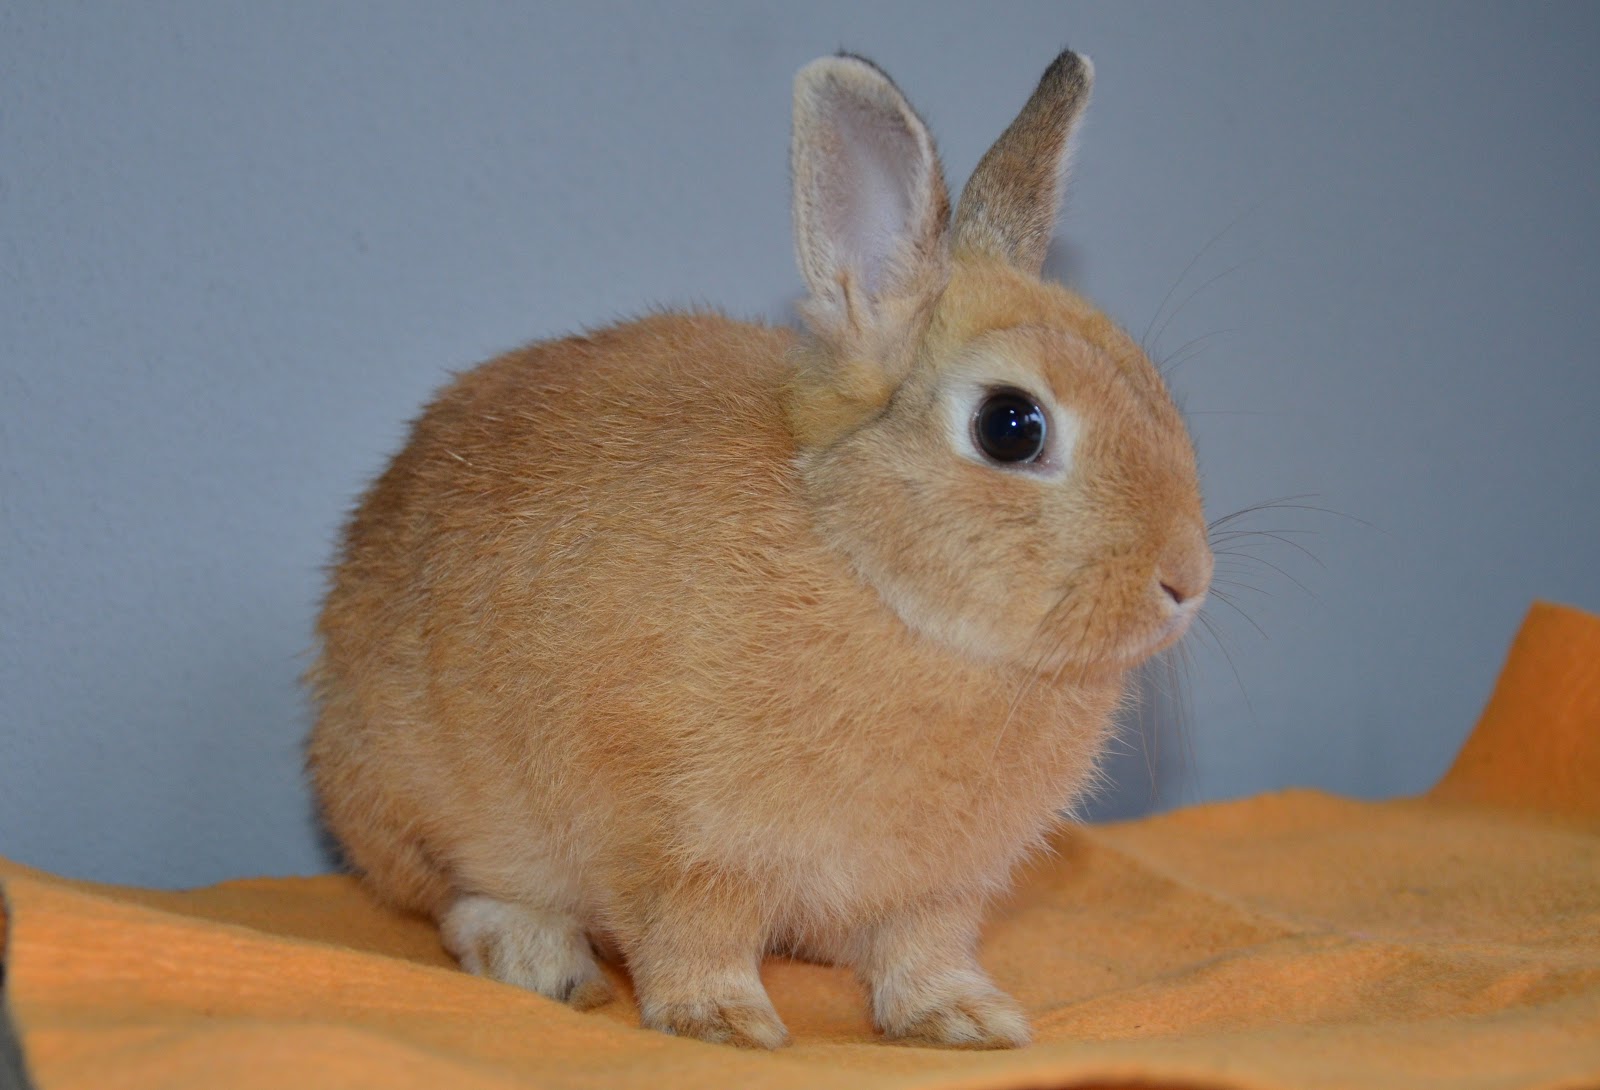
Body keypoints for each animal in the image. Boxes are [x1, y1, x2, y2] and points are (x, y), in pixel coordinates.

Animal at [306, 48, 1212, 1051]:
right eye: (1011, 426)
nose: (1186, 582)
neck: (870, 572)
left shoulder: (933, 890)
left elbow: (921, 951)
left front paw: (966, 1020)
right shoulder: (680, 845)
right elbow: (691, 932)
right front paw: (724, 1023)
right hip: (415, 797)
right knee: (456, 898)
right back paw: (543, 962)